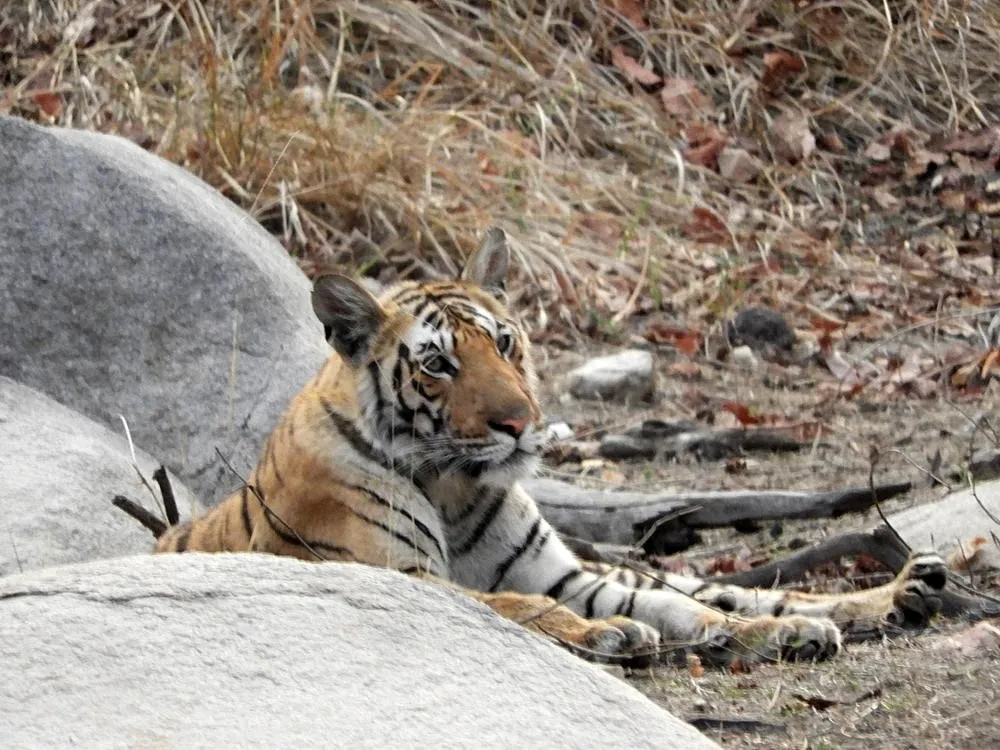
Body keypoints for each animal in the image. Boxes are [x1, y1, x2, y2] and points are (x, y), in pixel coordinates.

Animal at [153, 226, 948, 666]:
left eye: (504, 342)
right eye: (438, 365)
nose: (520, 421)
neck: (453, 484)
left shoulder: (561, 574)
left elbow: (684, 609)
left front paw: (725, 632)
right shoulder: (402, 577)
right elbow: (509, 607)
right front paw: (614, 636)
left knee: (729, 589)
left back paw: (887, 597)